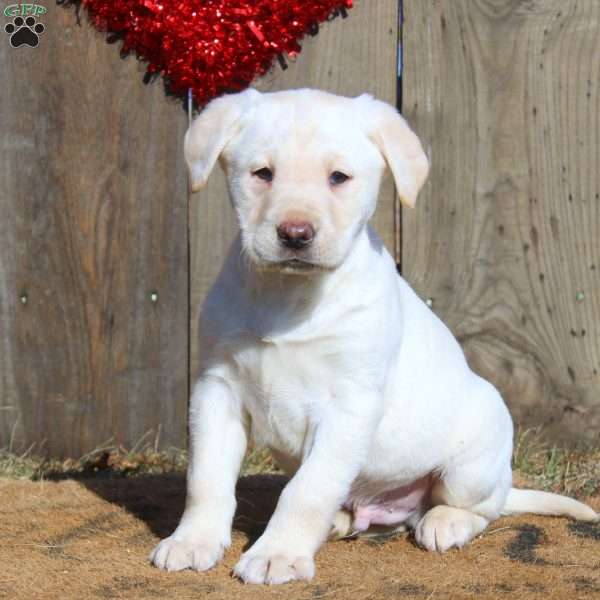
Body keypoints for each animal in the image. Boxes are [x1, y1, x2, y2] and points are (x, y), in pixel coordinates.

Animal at [149, 86, 596, 584]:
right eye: (262, 174)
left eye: (338, 178)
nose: (295, 234)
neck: (290, 295)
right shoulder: (217, 389)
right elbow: (206, 479)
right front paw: (193, 540)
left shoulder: (349, 404)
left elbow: (307, 489)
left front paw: (278, 553)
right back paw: (341, 521)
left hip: (476, 454)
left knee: (480, 507)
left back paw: (445, 522)